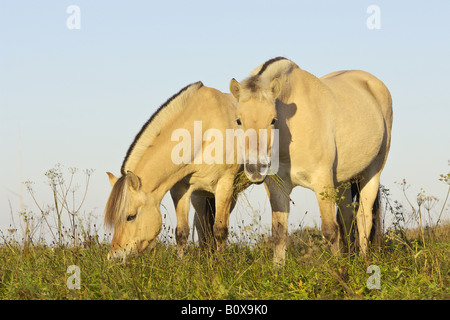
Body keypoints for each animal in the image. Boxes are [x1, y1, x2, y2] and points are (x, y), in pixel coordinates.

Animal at [104, 81, 248, 262]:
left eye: (130, 216)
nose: (114, 257)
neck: (205, 130)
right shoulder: (181, 190)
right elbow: (182, 232)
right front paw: (180, 263)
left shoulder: (225, 186)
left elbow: (220, 231)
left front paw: (219, 264)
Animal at [230, 57, 392, 264]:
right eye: (239, 120)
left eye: (273, 120)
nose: (256, 169)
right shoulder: (278, 187)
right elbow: (279, 233)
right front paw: (278, 269)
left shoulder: (322, 182)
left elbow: (330, 230)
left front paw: (338, 269)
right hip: (342, 182)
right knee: (347, 218)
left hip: (372, 172)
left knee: (364, 218)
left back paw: (363, 261)